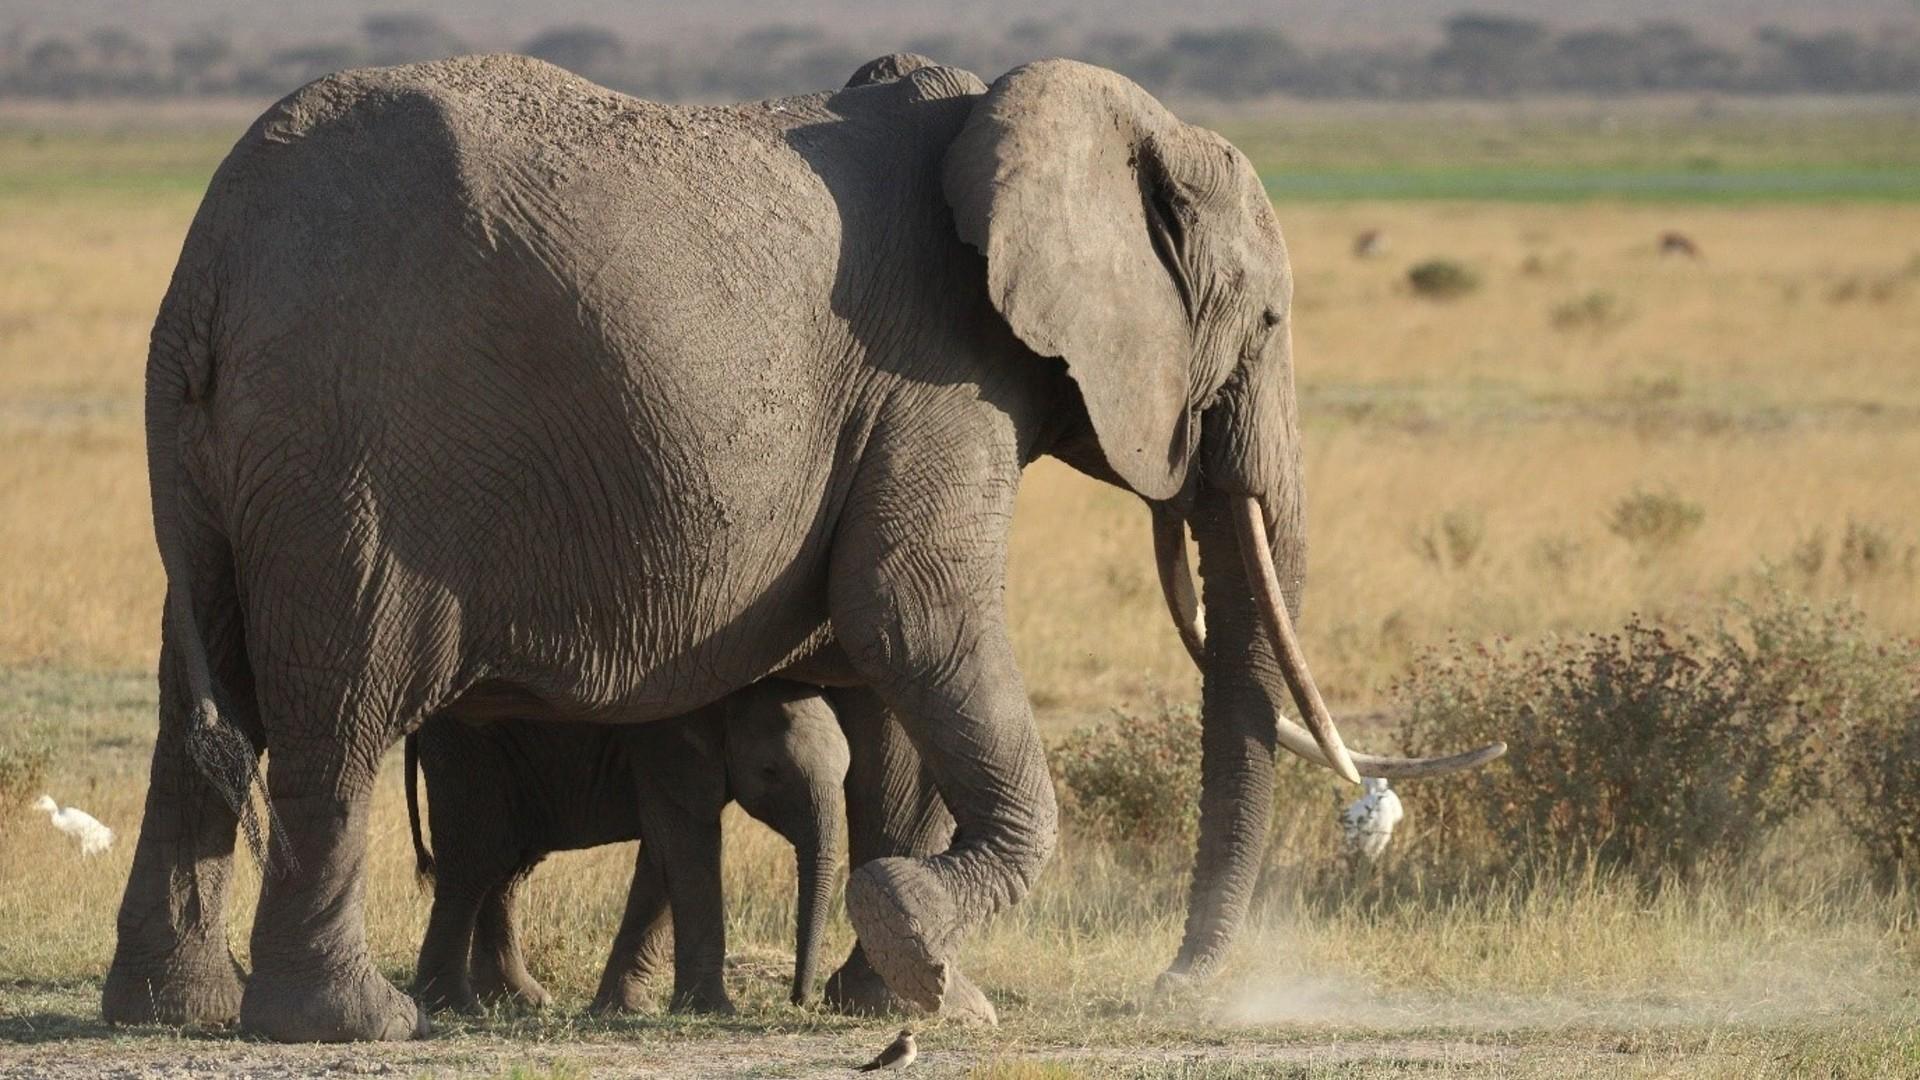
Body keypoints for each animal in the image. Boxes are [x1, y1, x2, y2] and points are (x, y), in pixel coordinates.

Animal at [407, 676, 848, 1014]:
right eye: (770, 771)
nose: (799, 1000)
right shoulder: (669, 742)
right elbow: (684, 846)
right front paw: (711, 1010)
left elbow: (660, 857)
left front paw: (628, 1009)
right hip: (469, 752)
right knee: (475, 863)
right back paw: (452, 1005)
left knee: (506, 869)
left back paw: (520, 1000)